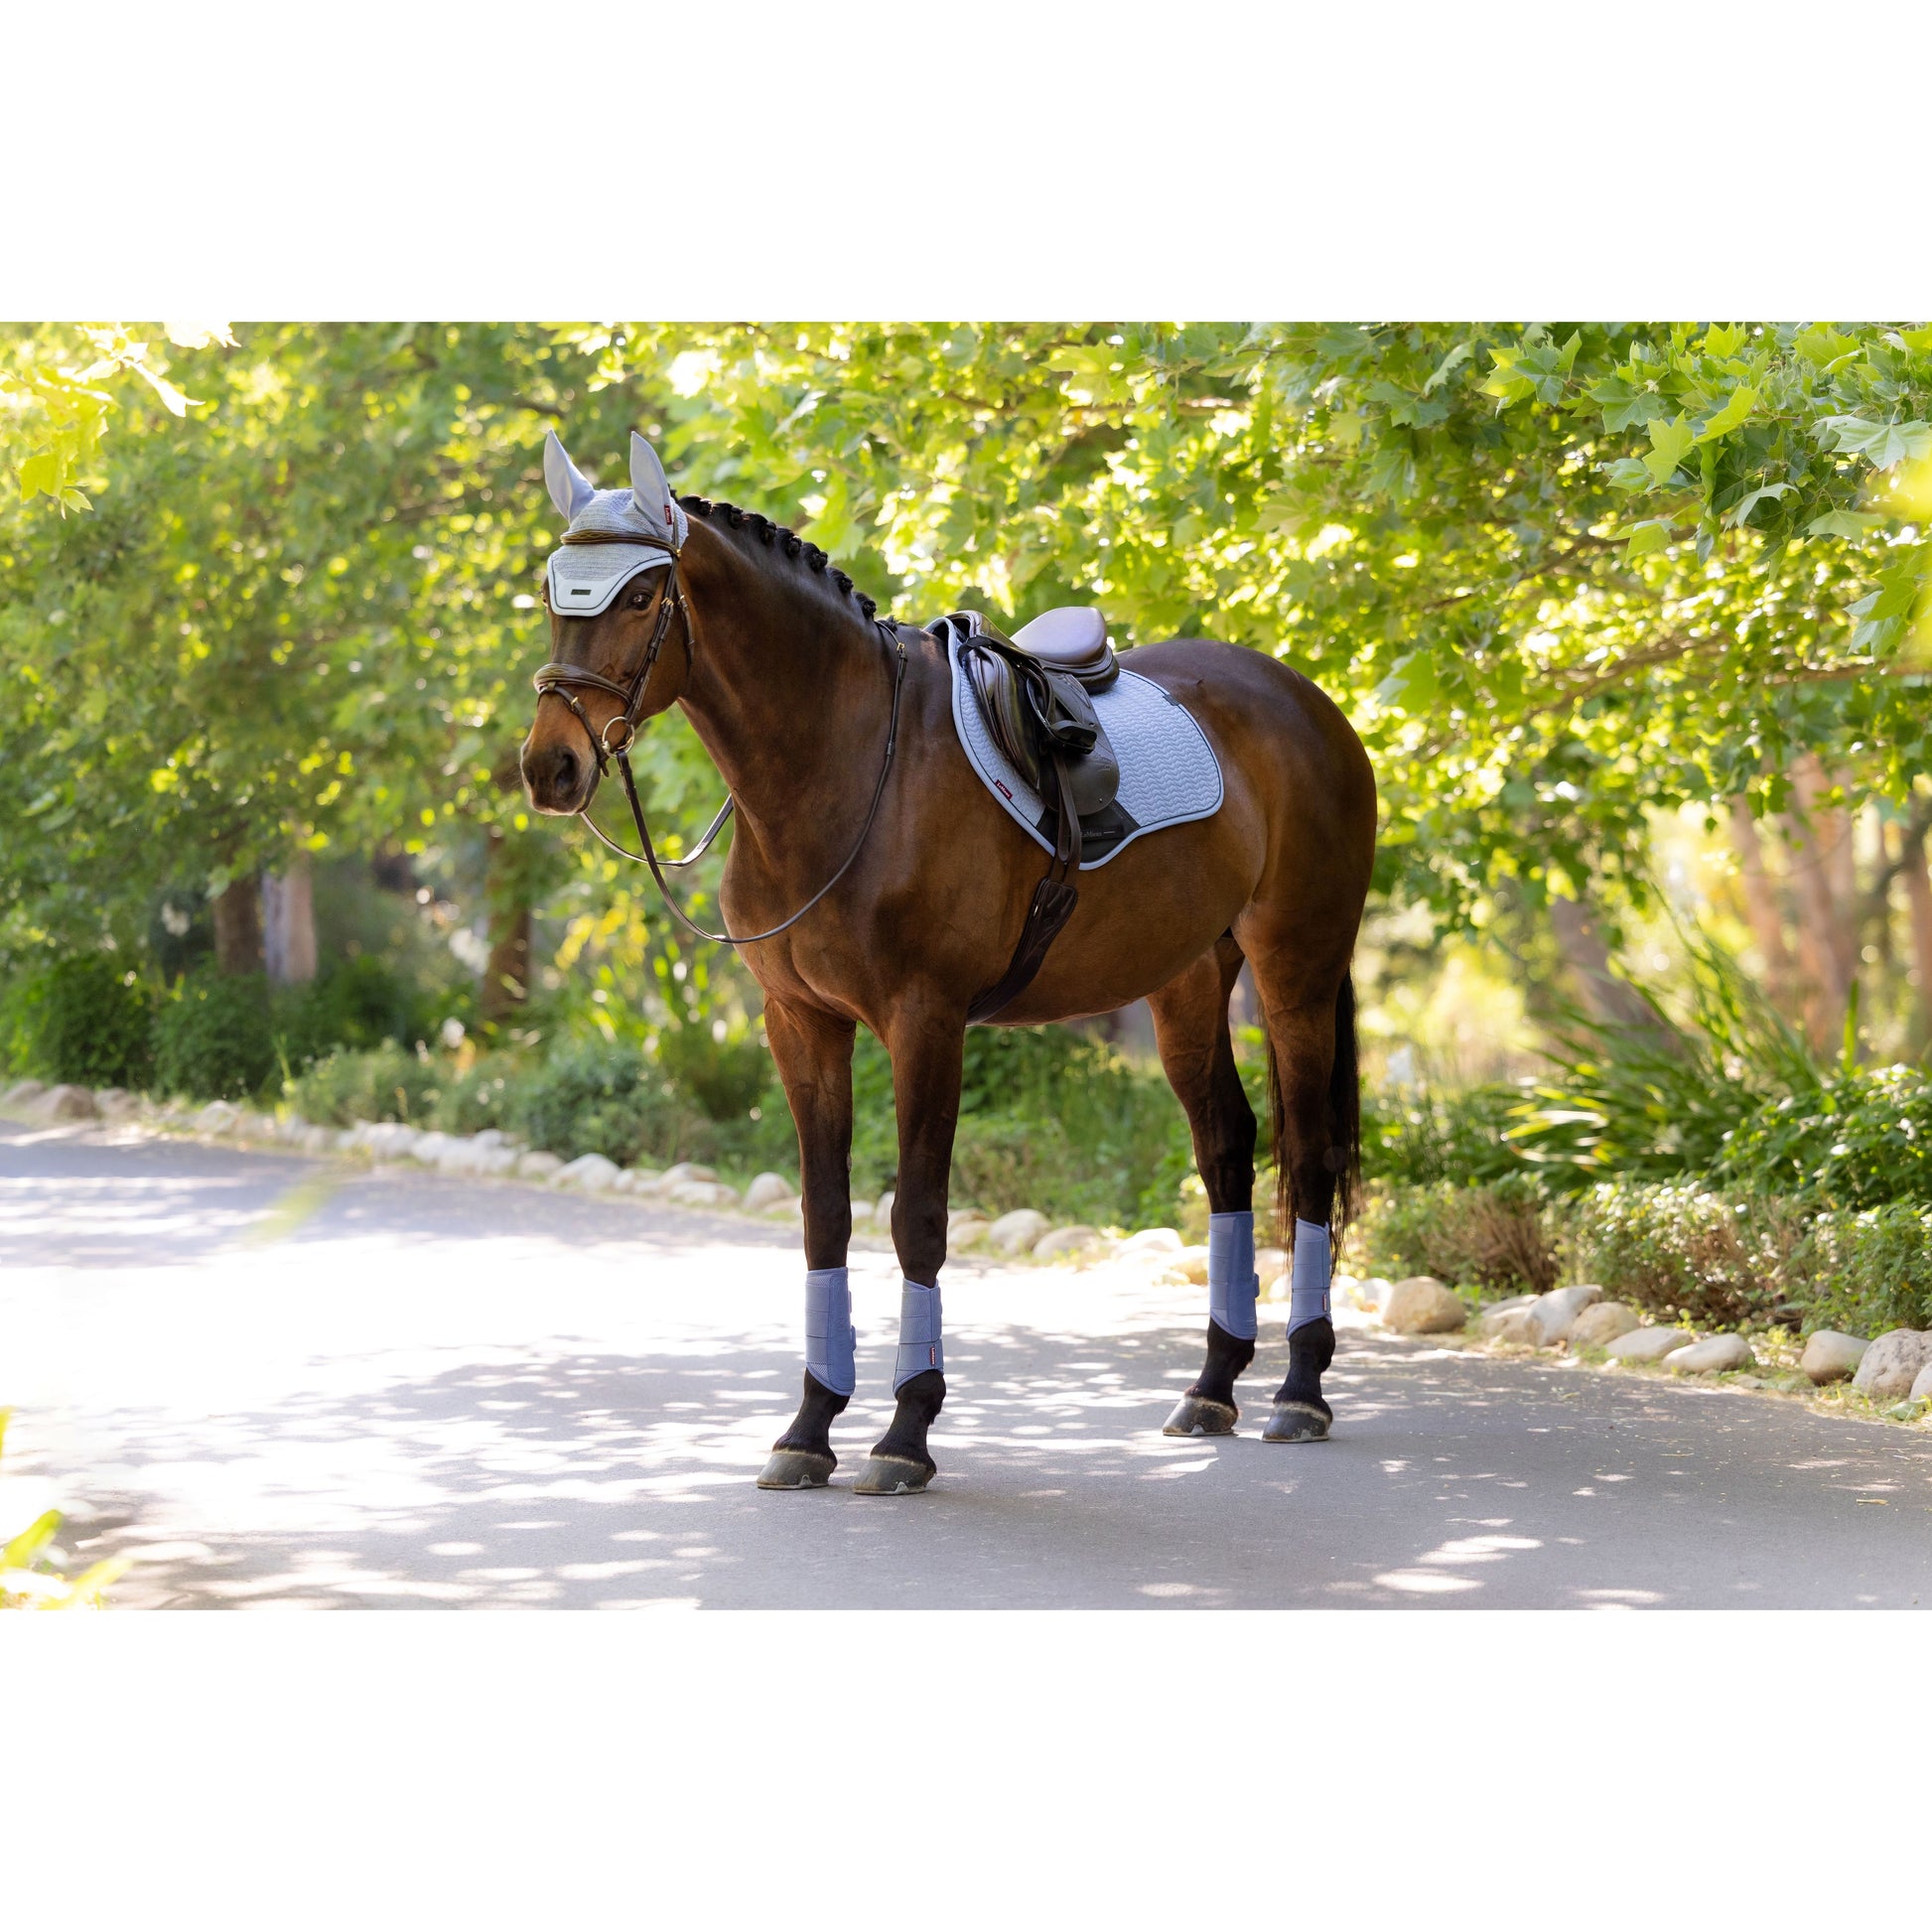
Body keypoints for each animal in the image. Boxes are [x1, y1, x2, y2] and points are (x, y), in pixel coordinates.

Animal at [519, 429, 1376, 1495]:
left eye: (640, 597)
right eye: (552, 590)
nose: (549, 766)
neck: (847, 767)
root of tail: (1307, 703)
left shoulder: (925, 1023)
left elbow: (917, 1218)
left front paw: (904, 1433)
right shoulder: (801, 1024)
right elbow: (826, 1218)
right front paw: (808, 1429)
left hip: (1298, 966)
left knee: (1307, 1156)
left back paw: (1300, 1389)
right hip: (1185, 980)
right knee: (1226, 1147)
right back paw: (1213, 1385)